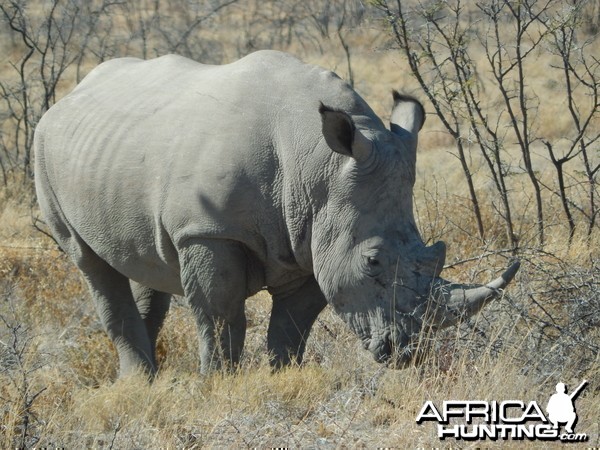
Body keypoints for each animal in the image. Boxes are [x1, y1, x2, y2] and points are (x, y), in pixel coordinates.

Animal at [34, 51, 520, 376]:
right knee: (88, 261)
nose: (407, 353)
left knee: (145, 262)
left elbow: (291, 326)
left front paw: (282, 376)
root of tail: (71, 95)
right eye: (373, 262)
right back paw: (140, 382)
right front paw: (218, 384)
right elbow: (220, 316)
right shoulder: (208, 230)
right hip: (44, 146)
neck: (319, 166)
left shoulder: (313, 238)